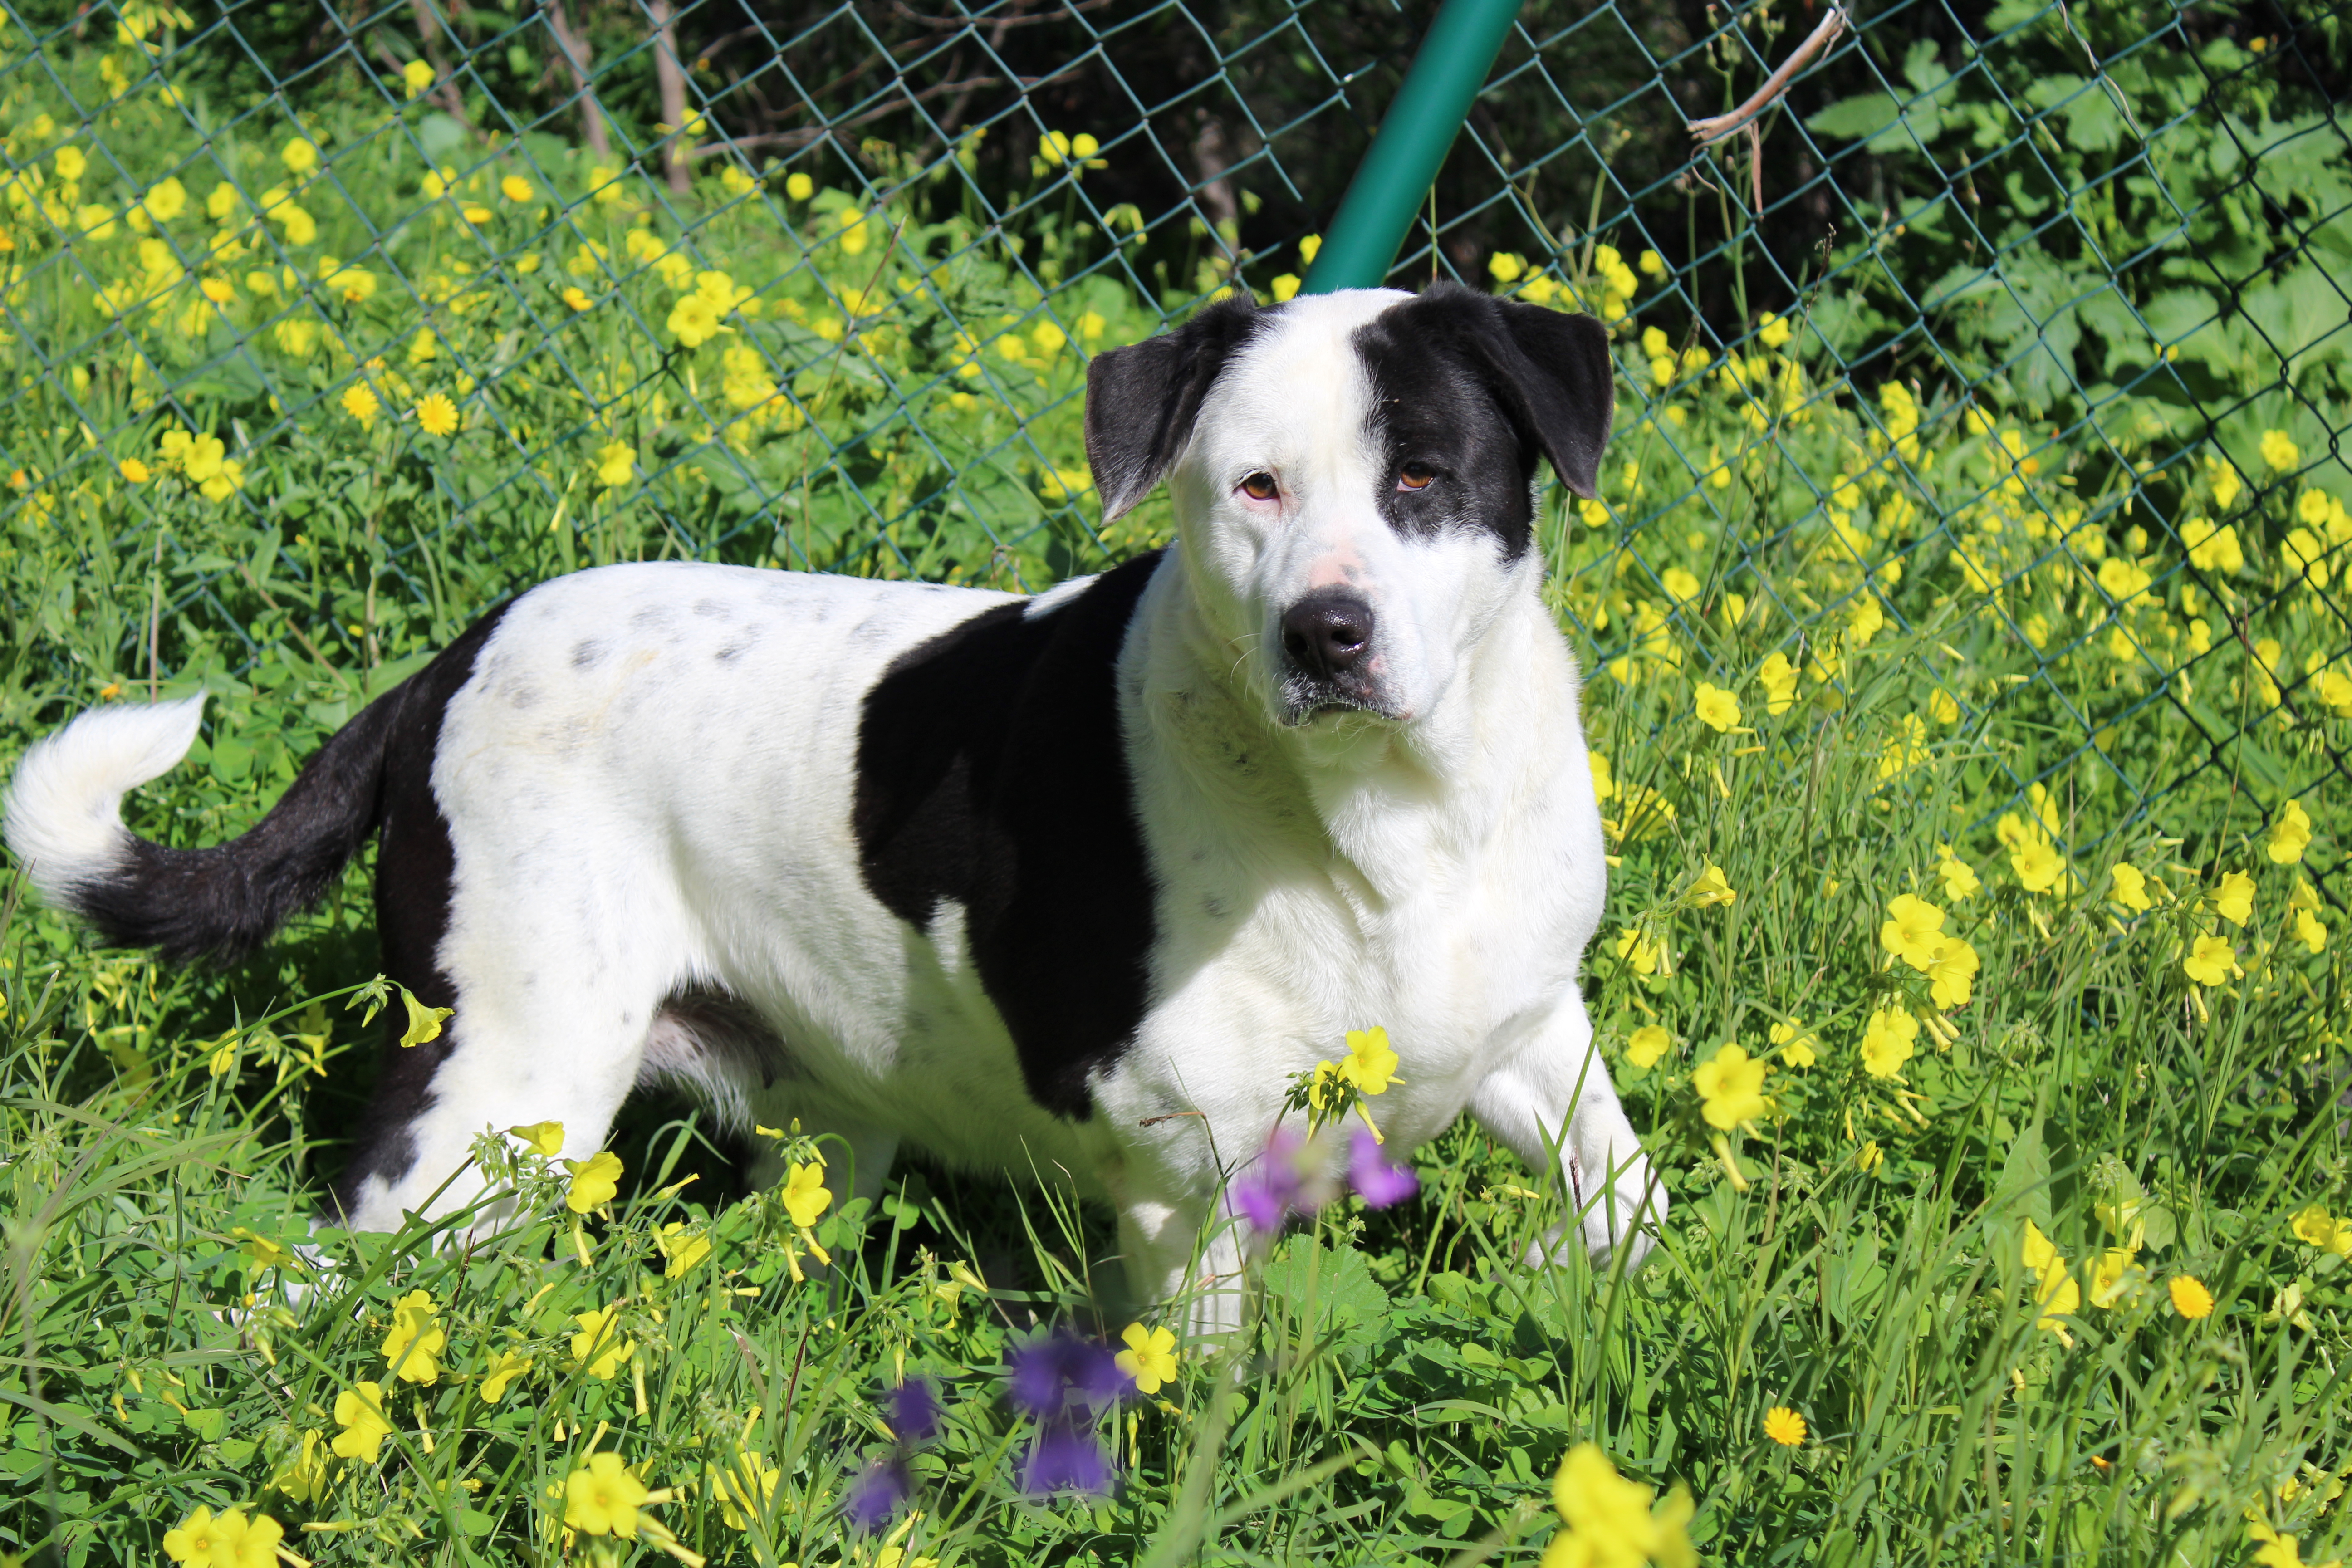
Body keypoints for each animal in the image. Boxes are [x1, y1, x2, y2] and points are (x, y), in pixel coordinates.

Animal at [5, 278, 1656, 1316]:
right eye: (1253, 486)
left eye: (1425, 476)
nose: (1328, 633)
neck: (1393, 822)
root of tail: (446, 664)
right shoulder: (1191, 1163)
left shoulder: (1530, 1034)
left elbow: (1623, 1204)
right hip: (495, 1103)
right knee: (305, 1287)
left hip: (801, 1134)